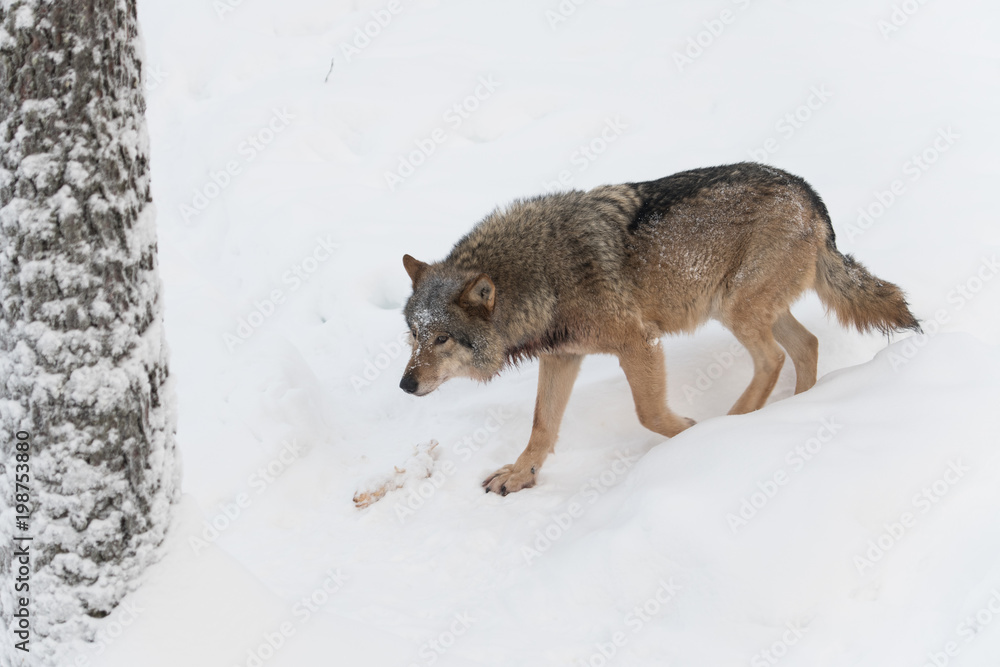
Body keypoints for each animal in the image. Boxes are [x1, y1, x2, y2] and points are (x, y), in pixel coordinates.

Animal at [399, 162, 920, 495]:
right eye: (415, 336)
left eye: (442, 339)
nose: (405, 384)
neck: (541, 275)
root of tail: (810, 193)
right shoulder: (562, 356)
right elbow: (542, 426)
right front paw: (520, 476)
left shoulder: (639, 344)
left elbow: (648, 413)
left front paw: (689, 433)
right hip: (747, 310)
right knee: (806, 346)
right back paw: (797, 408)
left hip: (735, 310)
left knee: (773, 358)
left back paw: (732, 423)